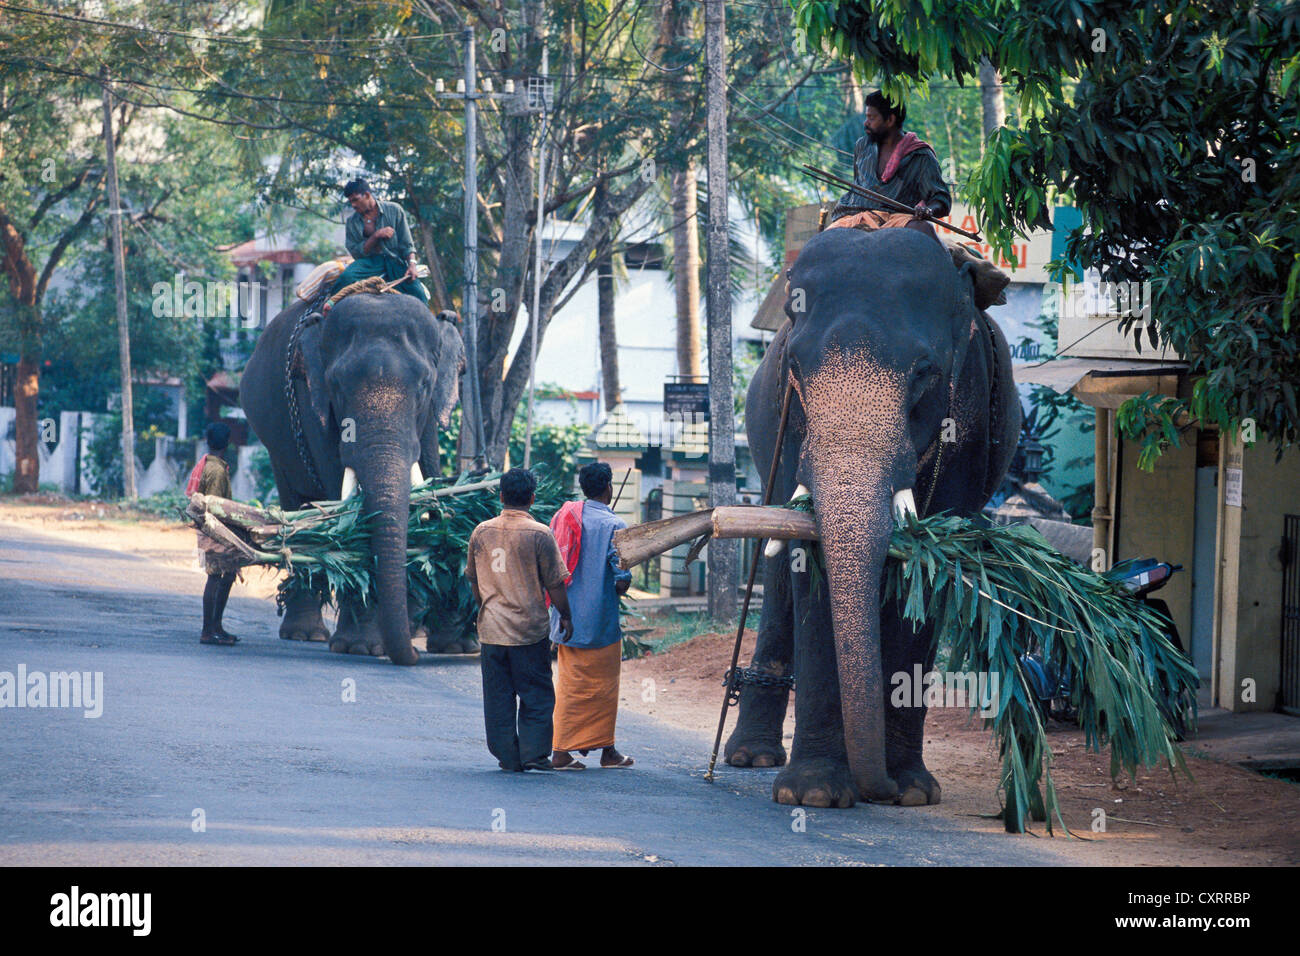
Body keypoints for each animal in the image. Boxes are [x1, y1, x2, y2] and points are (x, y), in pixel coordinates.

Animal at [241, 293, 465, 665]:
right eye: (337, 386)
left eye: (424, 386)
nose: (413, 656)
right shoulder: (314, 407)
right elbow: (342, 492)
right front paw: (361, 647)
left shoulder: (430, 422)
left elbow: (434, 479)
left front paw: (456, 645)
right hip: (277, 449)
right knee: (296, 504)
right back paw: (305, 635)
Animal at [728, 226, 1019, 806]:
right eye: (795, 368)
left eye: (925, 375)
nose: (876, 788)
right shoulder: (792, 430)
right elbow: (808, 562)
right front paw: (814, 794)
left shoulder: (968, 427)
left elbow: (929, 567)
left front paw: (910, 791)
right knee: (777, 577)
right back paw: (753, 757)